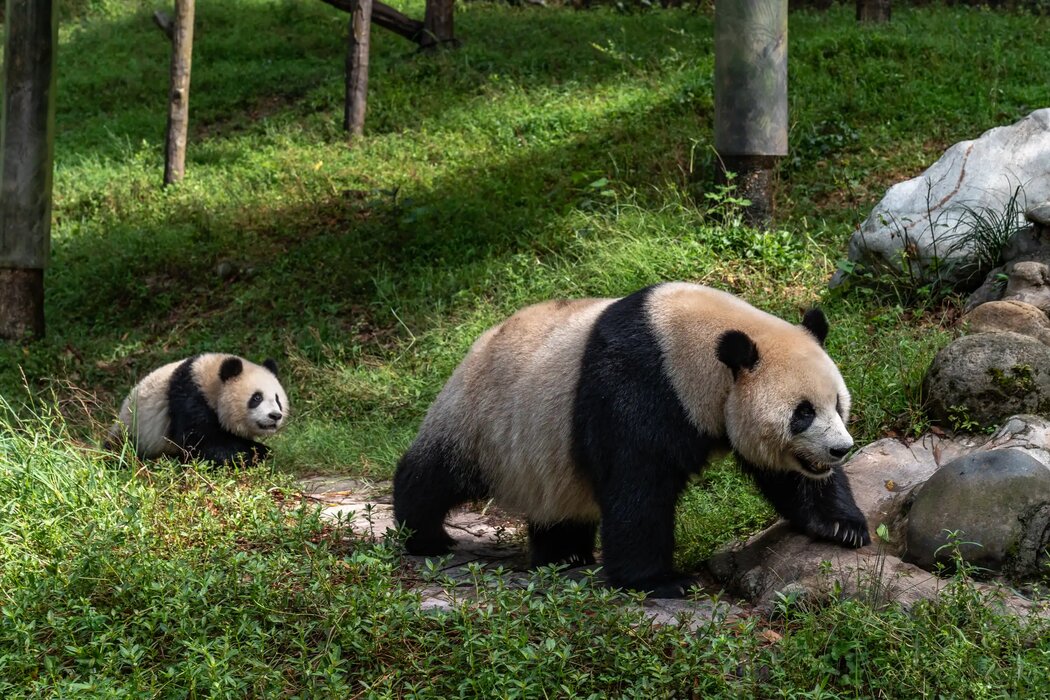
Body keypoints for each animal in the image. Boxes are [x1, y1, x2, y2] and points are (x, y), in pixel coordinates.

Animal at [109, 352, 289, 468]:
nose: (275, 415)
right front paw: (259, 453)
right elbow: (205, 443)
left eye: (277, 399)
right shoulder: (189, 399)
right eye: (256, 398)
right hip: (132, 431)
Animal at [394, 281, 869, 596]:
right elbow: (637, 485)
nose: (839, 449)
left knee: (558, 504)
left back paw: (564, 557)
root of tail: (478, 341)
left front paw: (842, 527)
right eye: (802, 413)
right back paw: (424, 536)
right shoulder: (639, 387)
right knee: (437, 473)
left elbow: (784, 474)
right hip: (484, 415)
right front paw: (660, 581)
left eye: (837, 404)